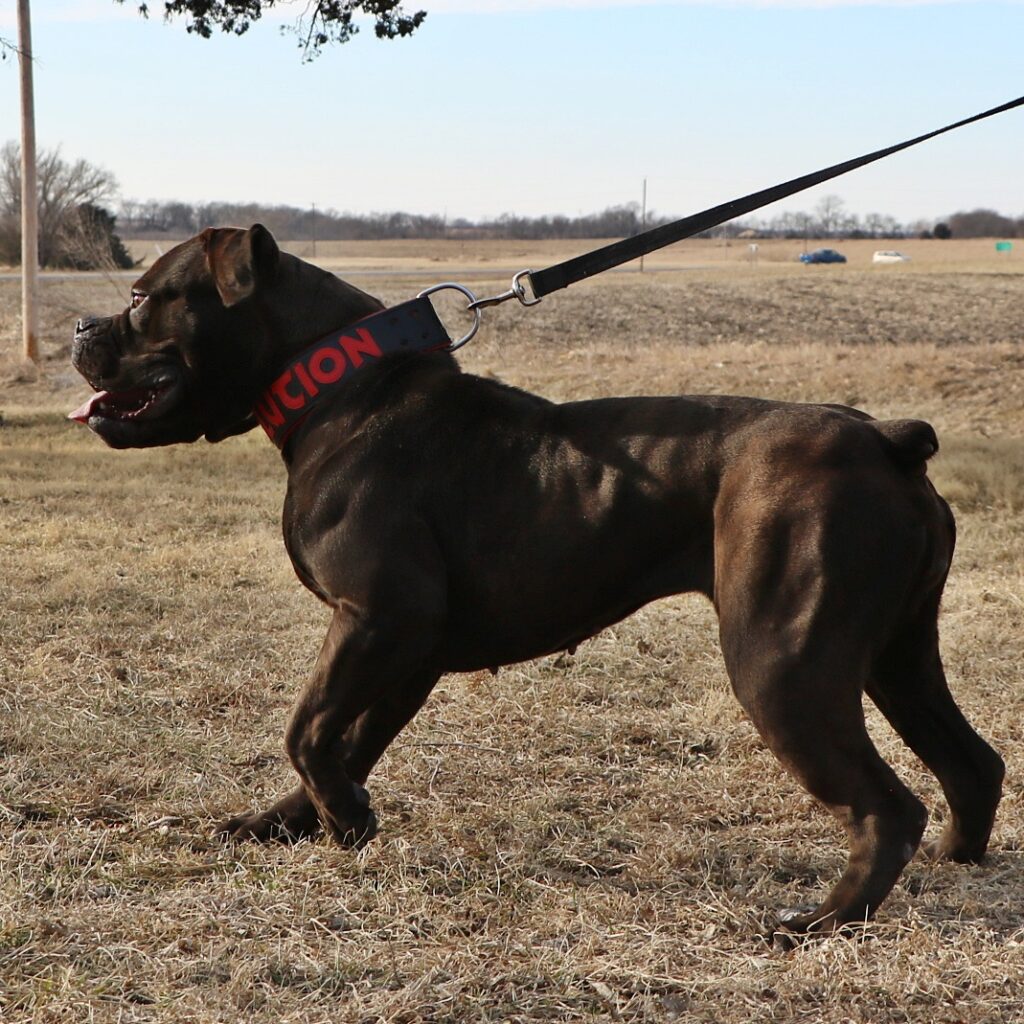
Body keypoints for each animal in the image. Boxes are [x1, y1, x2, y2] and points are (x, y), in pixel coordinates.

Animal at [68, 224, 1003, 937]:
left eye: (144, 299)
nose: (80, 327)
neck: (338, 388)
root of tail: (887, 438)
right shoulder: (404, 651)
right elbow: (345, 739)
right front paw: (298, 822)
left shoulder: (378, 620)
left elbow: (306, 729)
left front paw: (346, 822)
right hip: (896, 655)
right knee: (972, 763)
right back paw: (959, 866)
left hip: (784, 664)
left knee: (887, 806)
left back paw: (822, 921)